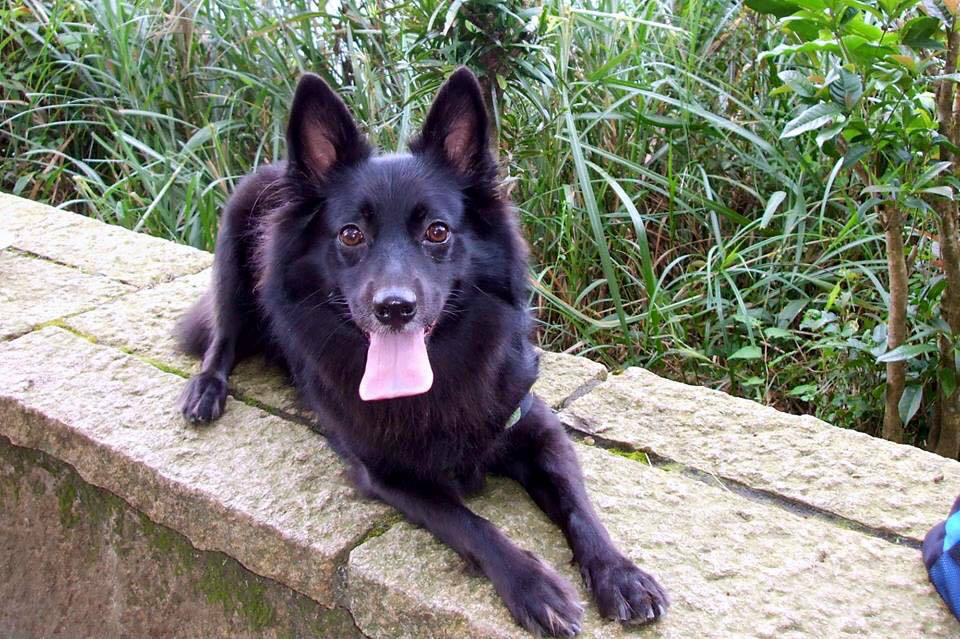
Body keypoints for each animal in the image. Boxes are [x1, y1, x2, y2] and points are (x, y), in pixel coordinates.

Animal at [176, 67, 668, 636]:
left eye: (437, 231)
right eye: (351, 234)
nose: (394, 309)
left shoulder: (536, 427)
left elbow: (578, 505)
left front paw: (620, 574)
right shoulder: (389, 472)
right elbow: (470, 523)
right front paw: (534, 586)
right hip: (233, 264)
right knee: (222, 336)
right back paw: (205, 390)